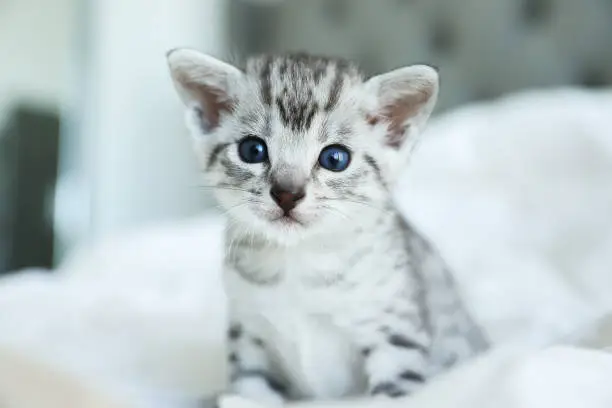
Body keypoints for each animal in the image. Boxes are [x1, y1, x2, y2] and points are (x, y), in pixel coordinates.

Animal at [166, 48, 488, 404]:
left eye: (335, 158)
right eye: (253, 150)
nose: (287, 193)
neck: (298, 262)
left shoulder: (394, 333)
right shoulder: (249, 334)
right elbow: (251, 393)